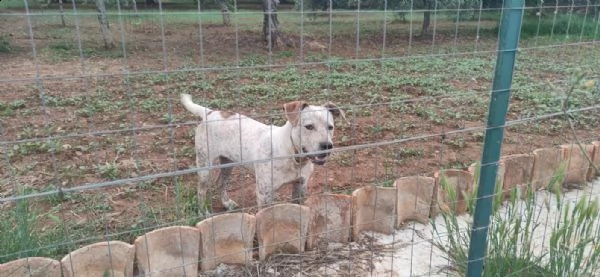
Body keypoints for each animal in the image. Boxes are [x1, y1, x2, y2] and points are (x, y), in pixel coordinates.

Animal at [180, 93, 344, 213]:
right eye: (309, 127)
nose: (327, 145)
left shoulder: (300, 186)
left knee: (221, 182)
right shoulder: (265, 194)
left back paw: (227, 203)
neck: (291, 154)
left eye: (330, 127)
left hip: (228, 162)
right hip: (204, 166)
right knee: (201, 190)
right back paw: (203, 212)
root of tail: (209, 113)